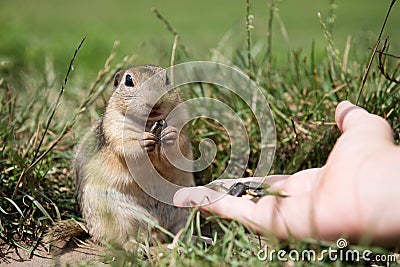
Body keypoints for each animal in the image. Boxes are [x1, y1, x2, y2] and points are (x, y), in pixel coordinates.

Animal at [72, 65, 196, 253]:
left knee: (180, 229)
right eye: (128, 80)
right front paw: (142, 141)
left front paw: (170, 134)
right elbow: (127, 147)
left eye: (167, 79)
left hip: (183, 209)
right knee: (122, 238)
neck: (148, 124)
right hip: (117, 216)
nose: (155, 102)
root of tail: (155, 231)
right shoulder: (115, 127)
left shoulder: (180, 118)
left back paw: (183, 244)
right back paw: (137, 248)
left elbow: (181, 144)